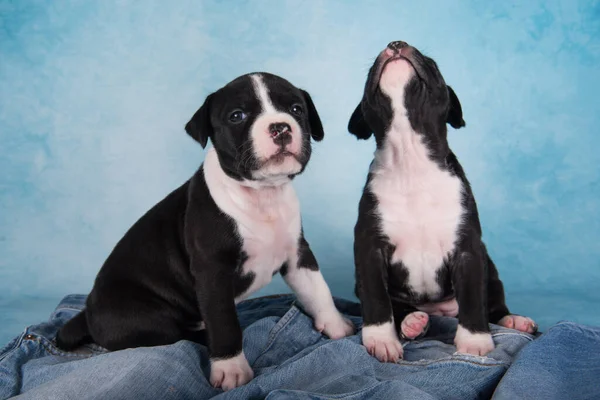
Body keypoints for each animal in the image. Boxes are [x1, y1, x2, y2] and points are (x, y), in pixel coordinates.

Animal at [55, 72, 356, 388]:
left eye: (296, 109)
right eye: (237, 116)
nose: (280, 127)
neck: (262, 194)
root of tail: (87, 313)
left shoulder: (297, 254)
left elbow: (317, 289)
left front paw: (336, 325)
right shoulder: (213, 272)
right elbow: (223, 322)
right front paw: (231, 368)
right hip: (141, 316)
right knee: (175, 334)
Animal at [344, 41, 536, 362]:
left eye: (432, 62)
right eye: (370, 72)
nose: (395, 43)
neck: (411, 160)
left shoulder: (468, 250)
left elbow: (473, 297)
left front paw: (474, 342)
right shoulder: (369, 248)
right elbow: (376, 297)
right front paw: (381, 339)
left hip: (491, 267)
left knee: (493, 303)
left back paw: (513, 320)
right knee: (399, 307)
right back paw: (411, 322)